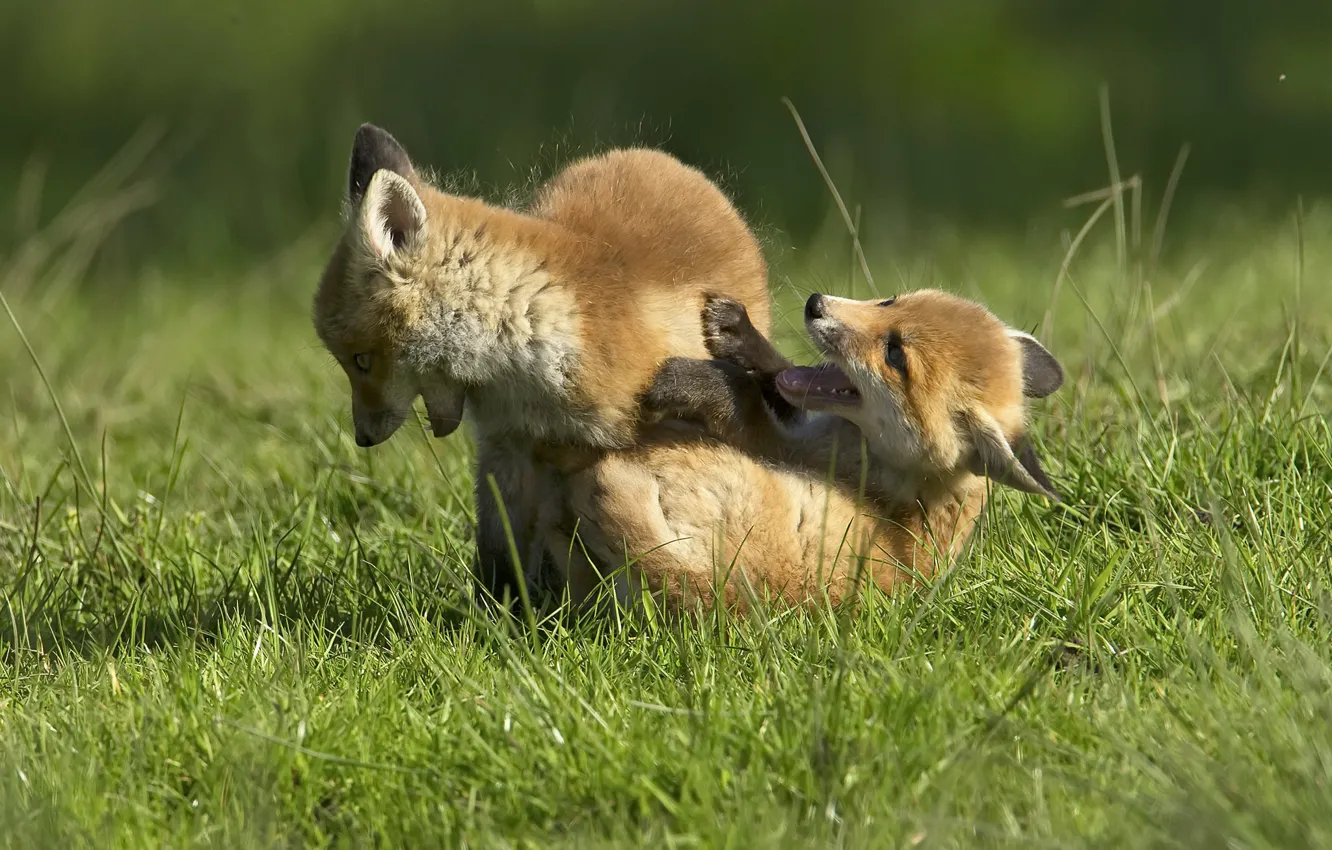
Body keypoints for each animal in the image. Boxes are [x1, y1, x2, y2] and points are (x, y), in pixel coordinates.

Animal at [311, 123, 772, 606]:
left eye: (361, 360)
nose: (362, 439)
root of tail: (660, 158)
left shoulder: (621, 444)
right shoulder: (505, 446)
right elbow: (499, 555)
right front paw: (496, 615)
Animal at [551, 288, 1065, 610]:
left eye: (895, 355)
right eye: (891, 301)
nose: (815, 303)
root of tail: (699, 584)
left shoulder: (794, 447)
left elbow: (748, 403)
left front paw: (700, 380)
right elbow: (778, 373)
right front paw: (739, 333)